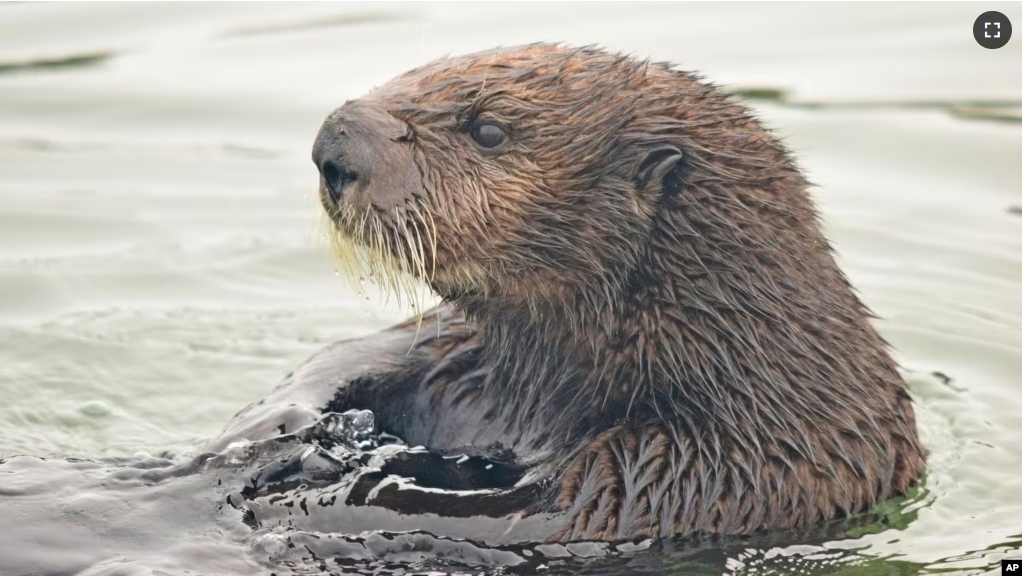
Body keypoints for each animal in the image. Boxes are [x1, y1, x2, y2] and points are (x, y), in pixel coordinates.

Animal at [304, 43, 928, 540]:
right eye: (415, 72)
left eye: (487, 130)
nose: (334, 142)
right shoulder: (456, 353)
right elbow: (357, 354)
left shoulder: (690, 472)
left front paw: (325, 495)